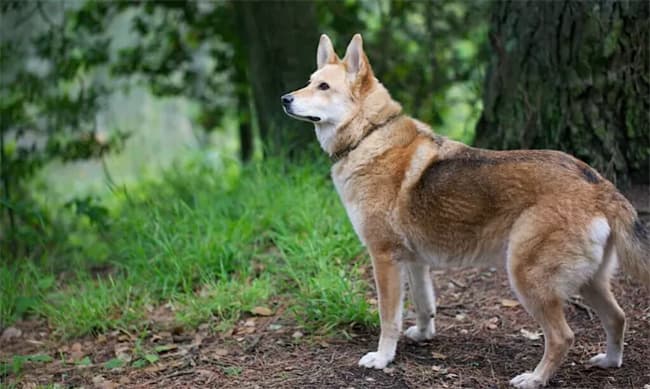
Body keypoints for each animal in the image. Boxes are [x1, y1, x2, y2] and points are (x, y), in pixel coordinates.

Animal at [280, 34, 648, 388]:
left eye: (323, 87)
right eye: (309, 81)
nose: (285, 98)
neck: (370, 134)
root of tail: (598, 184)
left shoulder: (383, 259)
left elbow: (388, 318)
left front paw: (383, 358)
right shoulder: (414, 262)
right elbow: (425, 306)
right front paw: (423, 336)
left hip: (528, 278)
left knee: (563, 337)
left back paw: (535, 378)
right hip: (590, 282)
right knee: (618, 318)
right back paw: (609, 361)